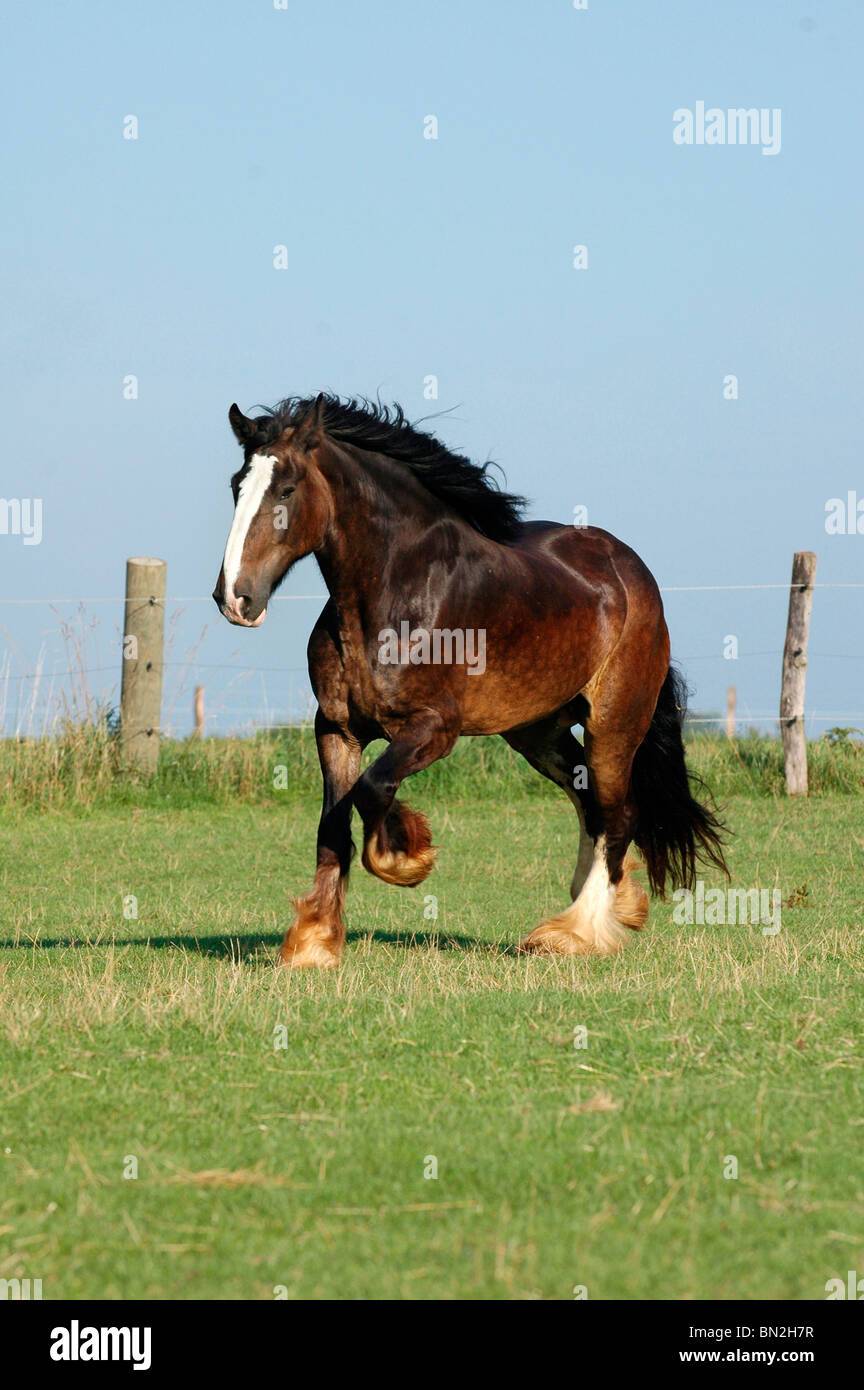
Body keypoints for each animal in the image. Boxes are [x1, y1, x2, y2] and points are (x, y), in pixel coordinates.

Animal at [213, 393, 727, 968]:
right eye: (236, 486)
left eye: (286, 489)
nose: (235, 598)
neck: (395, 595)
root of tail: (632, 573)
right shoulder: (336, 729)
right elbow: (333, 826)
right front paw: (314, 942)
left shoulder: (435, 729)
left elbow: (372, 790)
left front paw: (408, 855)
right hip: (537, 732)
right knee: (591, 804)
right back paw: (612, 904)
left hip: (614, 723)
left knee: (620, 814)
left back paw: (575, 932)